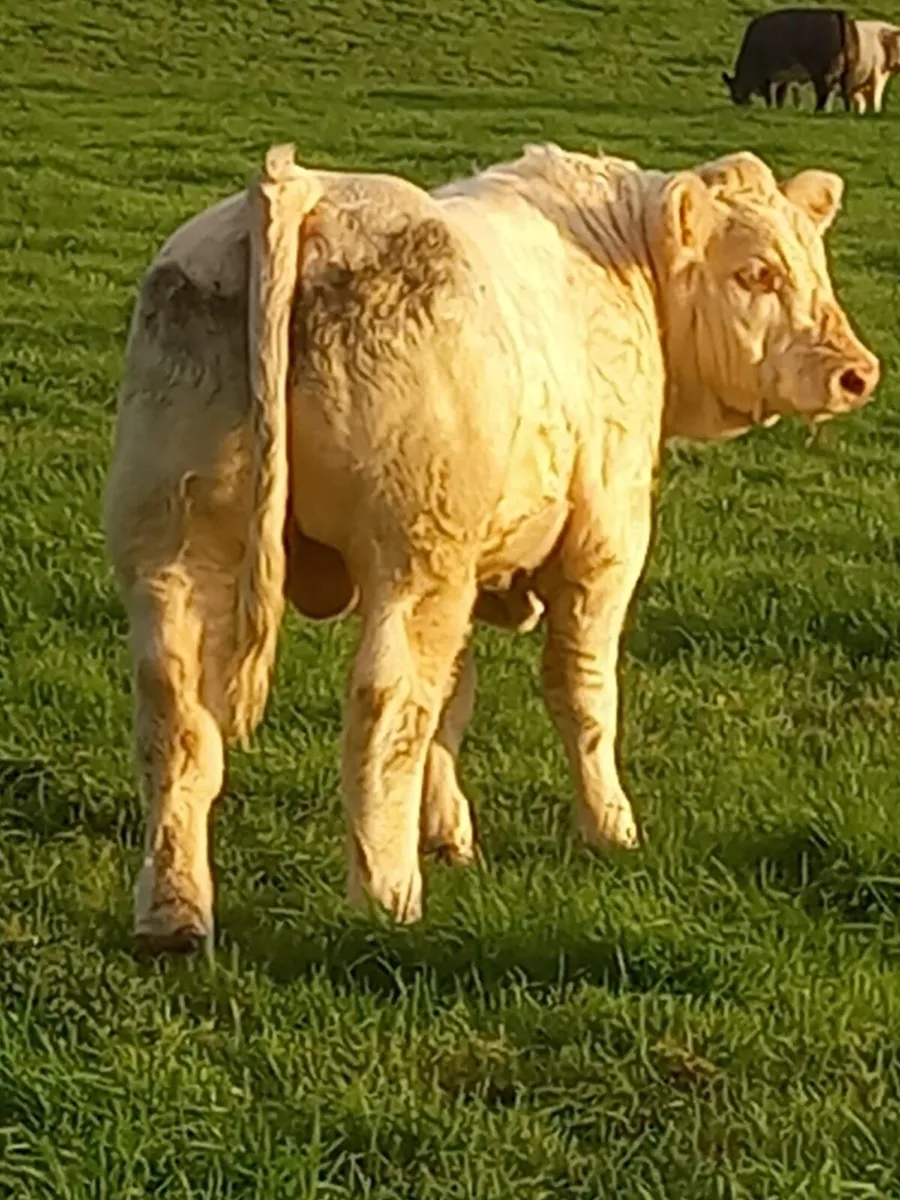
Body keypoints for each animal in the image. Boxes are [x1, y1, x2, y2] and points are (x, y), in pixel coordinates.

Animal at [103, 141, 880, 954]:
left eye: (815, 263)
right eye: (756, 272)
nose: (857, 372)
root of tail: (303, 187)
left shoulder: (470, 567)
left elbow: (454, 695)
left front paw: (447, 831)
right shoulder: (605, 537)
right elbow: (582, 690)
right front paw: (610, 826)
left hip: (175, 545)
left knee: (177, 712)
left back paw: (175, 913)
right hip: (411, 556)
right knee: (386, 703)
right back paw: (387, 893)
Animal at [722, 8, 860, 111]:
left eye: (733, 90)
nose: (739, 103)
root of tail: (837, 13)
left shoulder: (766, 76)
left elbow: (769, 95)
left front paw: (770, 107)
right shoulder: (784, 76)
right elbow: (780, 94)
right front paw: (778, 108)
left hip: (820, 71)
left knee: (823, 91)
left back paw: (817, 110)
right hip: (847, 70)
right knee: (845, 89)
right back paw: (846, 110)